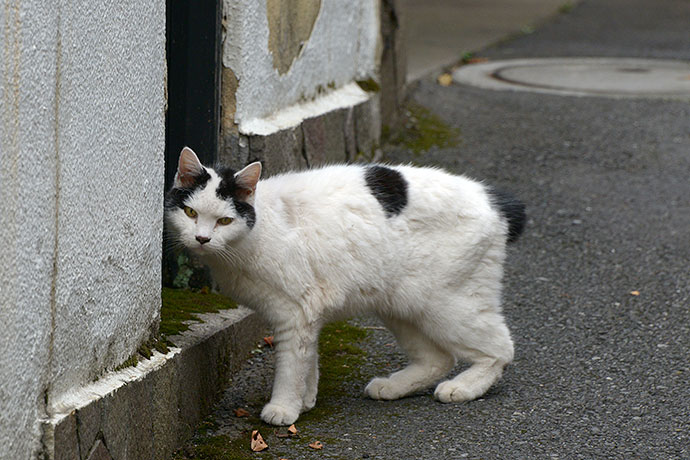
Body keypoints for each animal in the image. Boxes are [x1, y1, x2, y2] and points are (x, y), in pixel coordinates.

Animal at [164, 149, 524, 426]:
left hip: (448, 304)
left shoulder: (294, 313)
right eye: (190, 212)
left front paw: (284, 408)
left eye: (224, 220)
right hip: (401, 304)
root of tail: (495, 201)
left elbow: (291, 366)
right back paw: (392, 387)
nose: (201, 238)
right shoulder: (305, 315)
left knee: (501, 349)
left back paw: (462, 388)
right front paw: (306, 399)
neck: (258, 229)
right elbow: (308, 360)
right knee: (438, 358)